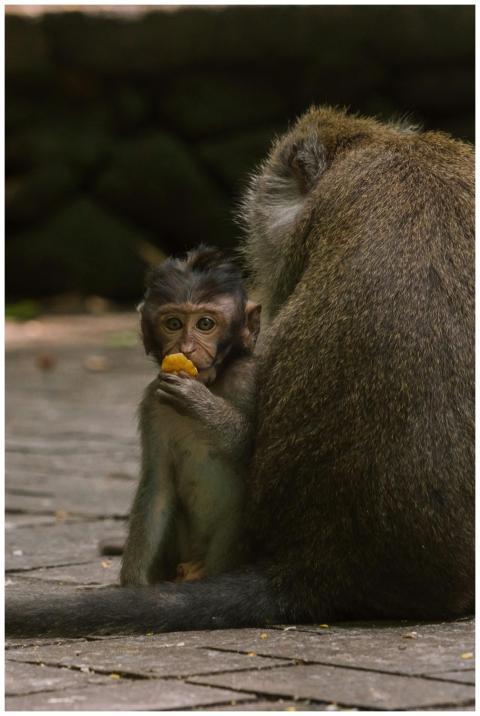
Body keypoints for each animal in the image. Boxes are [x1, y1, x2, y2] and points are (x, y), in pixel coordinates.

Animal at [120, 246, 261, 586]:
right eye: (173, 323)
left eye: (205, 324)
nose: (185, 348)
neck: (214, 380)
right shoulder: (153, 404)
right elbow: (157, 486)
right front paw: (132, 585)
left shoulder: (248, 377)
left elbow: (255, 447)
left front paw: (198, 403)